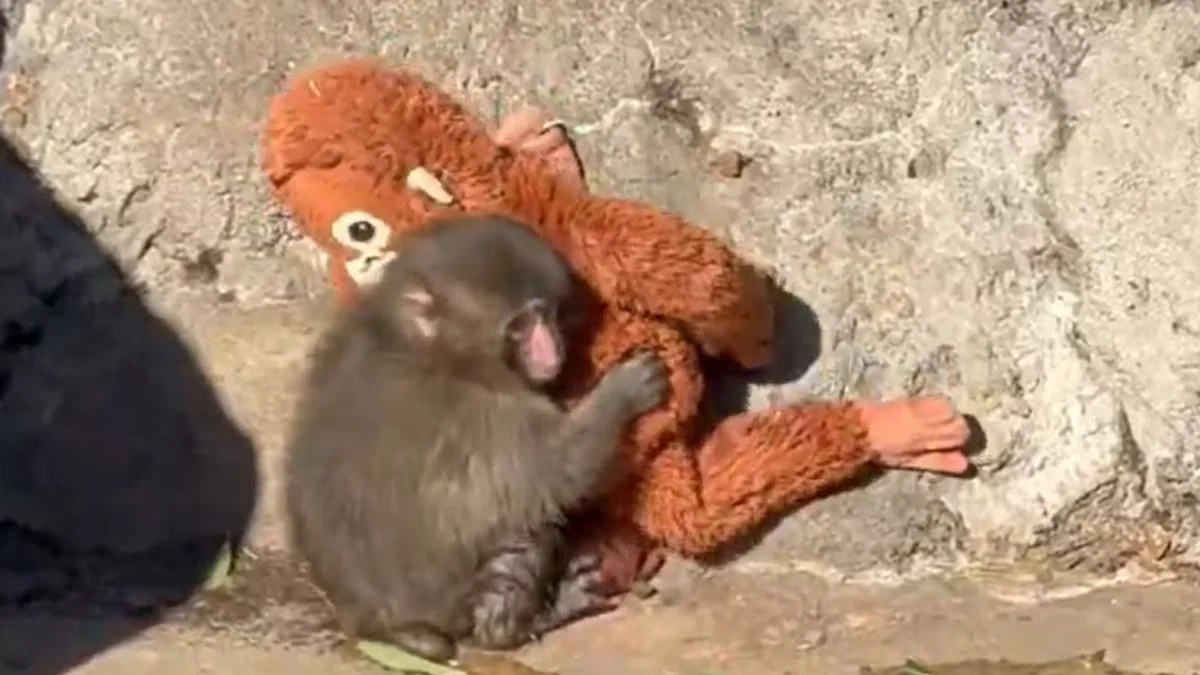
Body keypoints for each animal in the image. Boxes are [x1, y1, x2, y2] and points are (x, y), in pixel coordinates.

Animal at [284, 213, 667, 664]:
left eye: (546, 314)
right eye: (520, 326)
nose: (551, 351)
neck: (429, 348)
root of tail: (375, 623)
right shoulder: (488, 414)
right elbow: (562, 468)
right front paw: (623, 391)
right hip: (452, 602)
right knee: (521, 532)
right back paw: (520, 624)